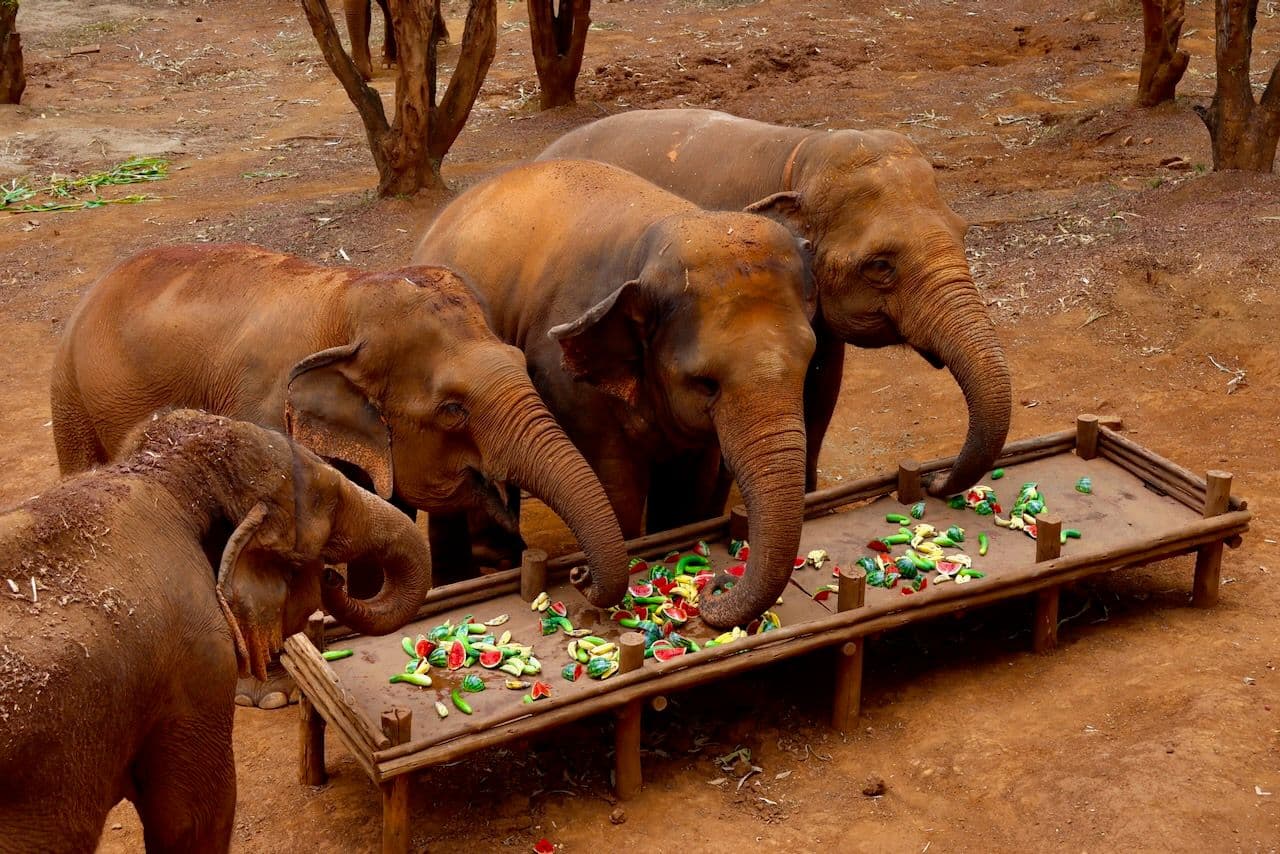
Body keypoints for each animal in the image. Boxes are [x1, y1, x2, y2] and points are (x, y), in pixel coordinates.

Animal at [51, 244, 630, 703]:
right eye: (452, 410)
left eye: (521, 361)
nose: (578, 576)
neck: (347, 301)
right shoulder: (263, 417)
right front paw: (272, 694)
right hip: (70, 398)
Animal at [414, 159, 817, 629]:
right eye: (706, 383)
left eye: (808, 359)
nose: (716, 587)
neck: (655, 240)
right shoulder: (569, 384)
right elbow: (615, 488)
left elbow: (689, 488)